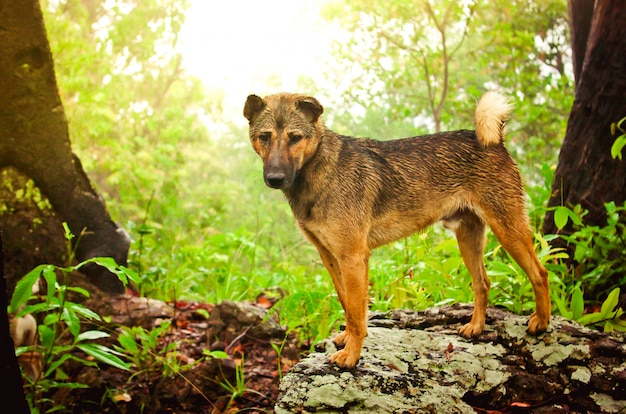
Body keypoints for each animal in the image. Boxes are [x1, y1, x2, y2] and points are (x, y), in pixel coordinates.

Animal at [241, 91, 548, 368]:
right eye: (265, 137)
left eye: (295, 137)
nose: (275, 178)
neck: (319, 169)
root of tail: (494, 140)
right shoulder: (331, 258)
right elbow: (347, 306)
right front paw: (346, 340)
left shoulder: (353, 258)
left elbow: (357, 313)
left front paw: (351, 356)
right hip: (468, 238)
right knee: (483, 283)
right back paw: (476, 327)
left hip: (509, 231)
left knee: (541, 273)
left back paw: (541, 323)